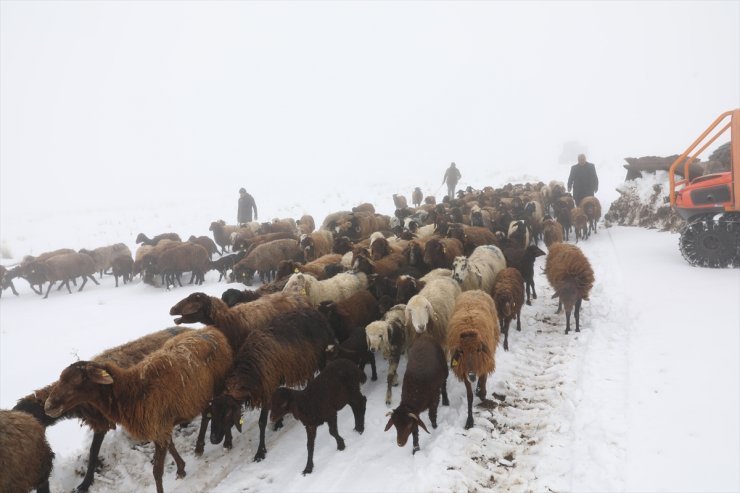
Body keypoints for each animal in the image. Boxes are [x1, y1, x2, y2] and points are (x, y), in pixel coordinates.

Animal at [44, 326, 234, 492]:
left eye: (75, 381)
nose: (48, 406)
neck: (132, 391)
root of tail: (211, 330)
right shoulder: (160, 426)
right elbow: (171, 447)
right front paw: (181, 468)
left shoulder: (158, 425)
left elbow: (157, 472)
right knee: (207, 414)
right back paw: (201, 447)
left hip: (218, 386)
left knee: (221, 410)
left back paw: (223, 443)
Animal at [210, 308, 334, 462]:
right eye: (211, 413)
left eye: (227, 413)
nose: (213, 439)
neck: (250, 370)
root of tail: (318, 313)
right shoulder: (272, 383)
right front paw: (279, 422)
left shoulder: (267, 389)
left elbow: (262, 422)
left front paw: (260, 452)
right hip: (308, 362)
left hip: (321, 355)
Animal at [446, 290, 502, 428]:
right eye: (461, 351)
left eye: (478, 349)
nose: (472, 375)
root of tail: (475, 290)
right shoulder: (463, 371)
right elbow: (469, 397)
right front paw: (469, 421)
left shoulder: (484, 363)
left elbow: (483, 385)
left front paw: (483, 395)